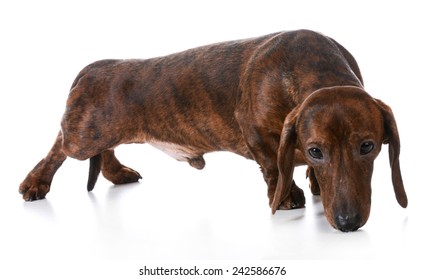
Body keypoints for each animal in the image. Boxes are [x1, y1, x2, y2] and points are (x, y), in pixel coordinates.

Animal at [19, 29, 408, 232]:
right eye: (316, 150)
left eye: (368, 146)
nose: (347, 223)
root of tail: (92, 68)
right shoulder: (255, 132)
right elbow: (272, 167)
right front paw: (285, 197)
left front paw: (312, 183)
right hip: (84, 134)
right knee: (58, 147)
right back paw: (35, 183)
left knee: (107, 152)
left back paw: (118, 173)